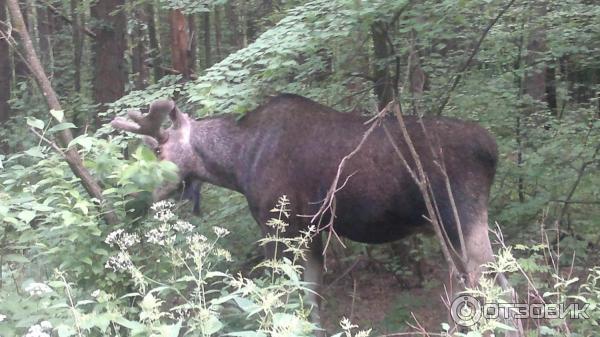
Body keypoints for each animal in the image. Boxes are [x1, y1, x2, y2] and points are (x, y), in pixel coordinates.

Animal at [111, 93, 520, 334]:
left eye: (158, 151)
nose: (127, 197)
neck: (238, 163)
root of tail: (492, 149)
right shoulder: (314, 230)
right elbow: (311, 298)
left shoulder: (277, 225)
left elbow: (281, 294)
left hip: (460, 217)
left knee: (502, 289)